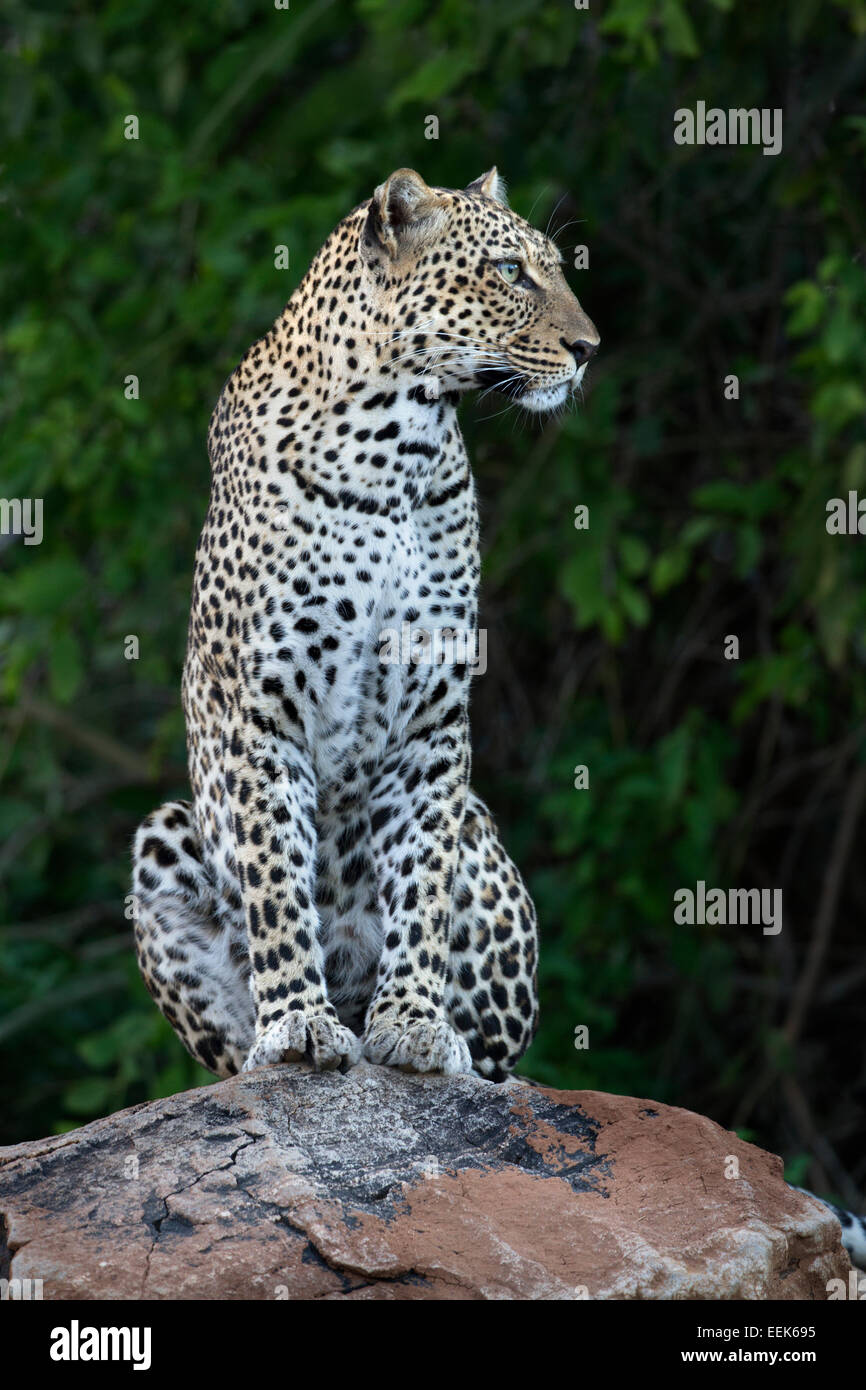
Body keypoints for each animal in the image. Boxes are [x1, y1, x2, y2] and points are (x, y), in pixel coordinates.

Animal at [132, 165, 600, 1084]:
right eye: (508, 272)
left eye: (556, 268)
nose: (589, 347)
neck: (397, 447)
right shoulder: (265, 711)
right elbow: (277, 878)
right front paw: (299, 1022)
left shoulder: (433, 721)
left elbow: (421, 882)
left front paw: (414, 1024)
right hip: (161, 839)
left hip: (482, 841)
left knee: (498, 1050)